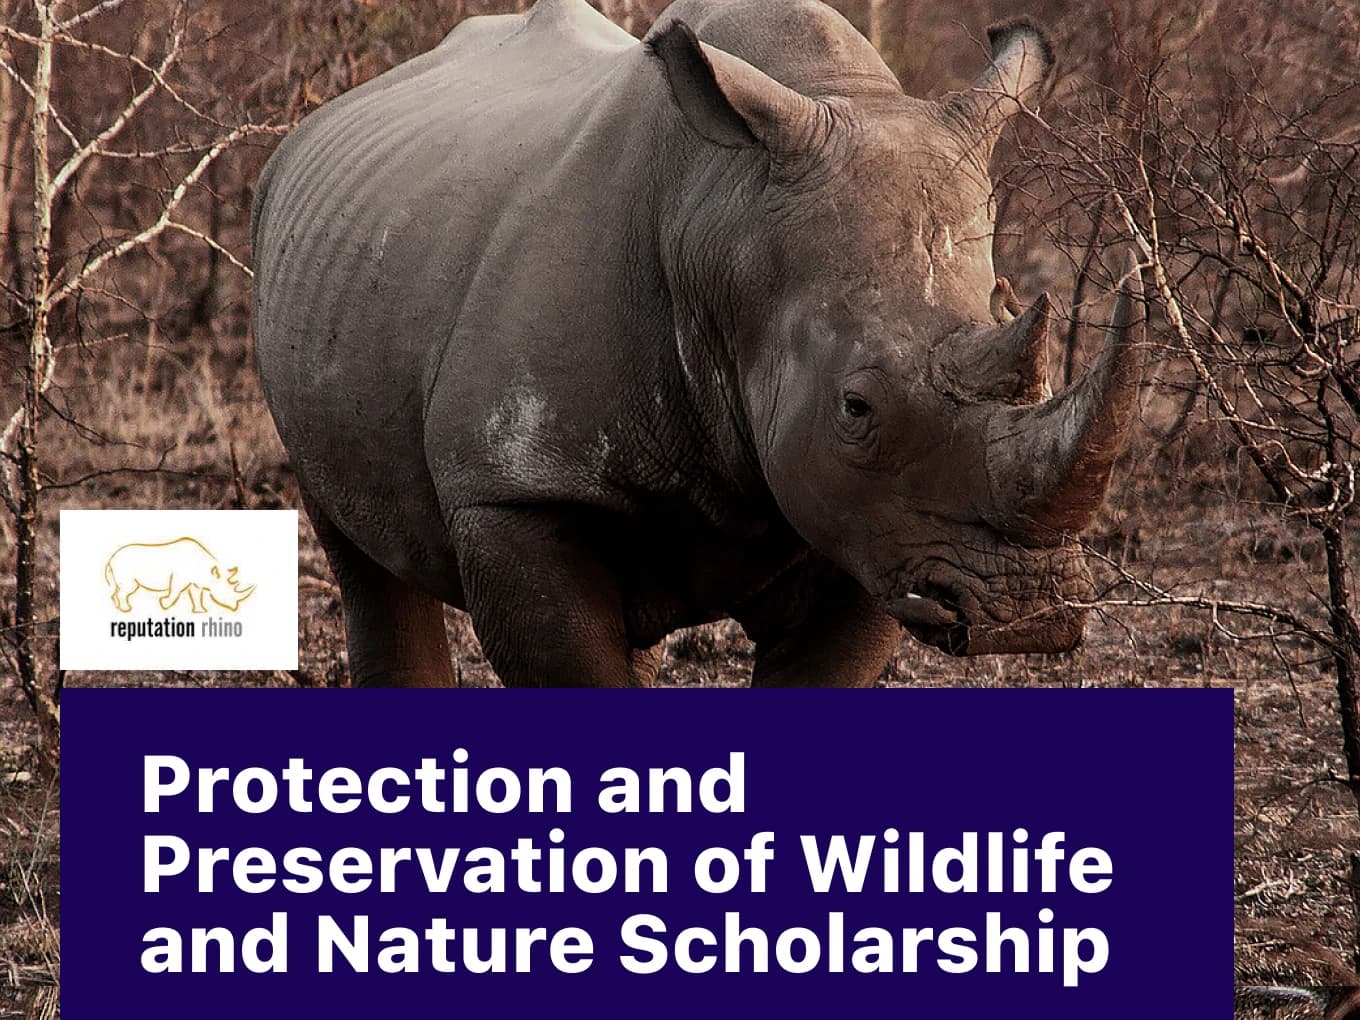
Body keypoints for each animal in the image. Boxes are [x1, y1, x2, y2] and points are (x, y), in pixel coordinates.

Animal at [251, 0, 1143, 688]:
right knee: (359, 551)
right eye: (855, 407)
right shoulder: (511, 490)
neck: (724, 221)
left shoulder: (870, 530)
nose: (1027, 614)